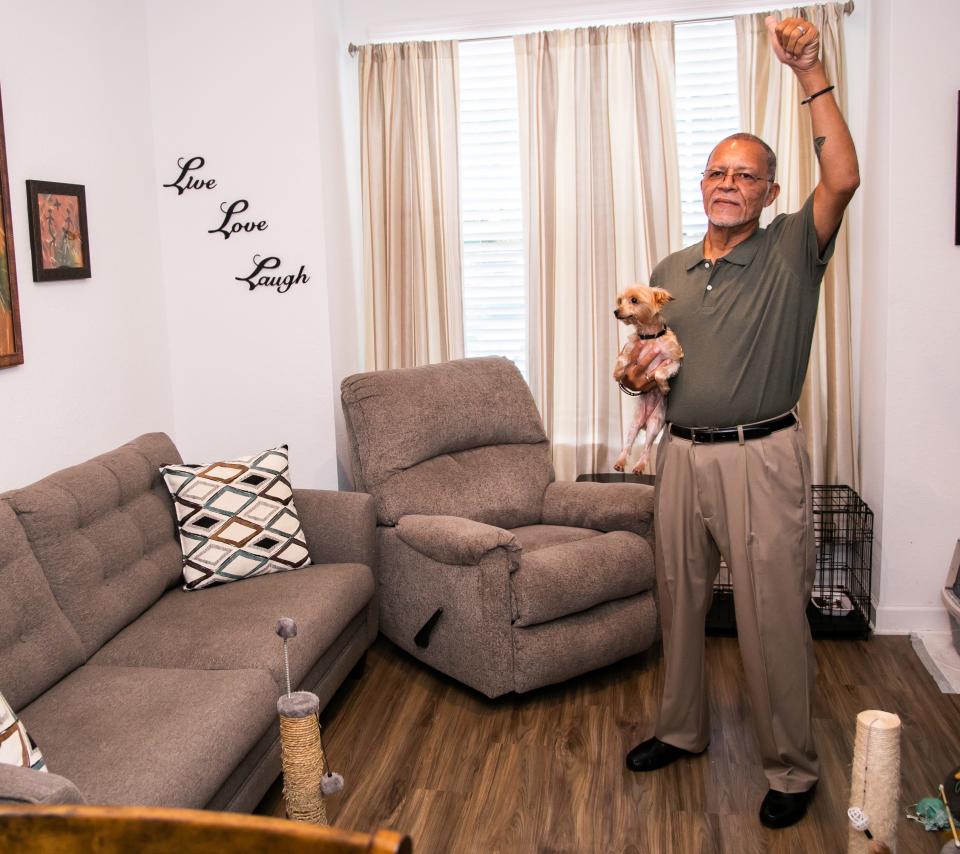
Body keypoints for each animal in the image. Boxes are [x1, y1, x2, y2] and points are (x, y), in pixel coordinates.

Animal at [616, 286, 684, 474]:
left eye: (634, 300)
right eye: (620, 300)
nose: (615, 311)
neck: (648, 335)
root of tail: (644, 422)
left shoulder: (673, 361)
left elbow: (659, 372)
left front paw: (664, 387)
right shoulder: (631, 349)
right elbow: (622, 359)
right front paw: (617, 373)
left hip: (655, 423)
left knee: (646, 448)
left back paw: (639, 466)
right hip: (634, 424)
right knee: (628, 445)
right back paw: (620, 462)